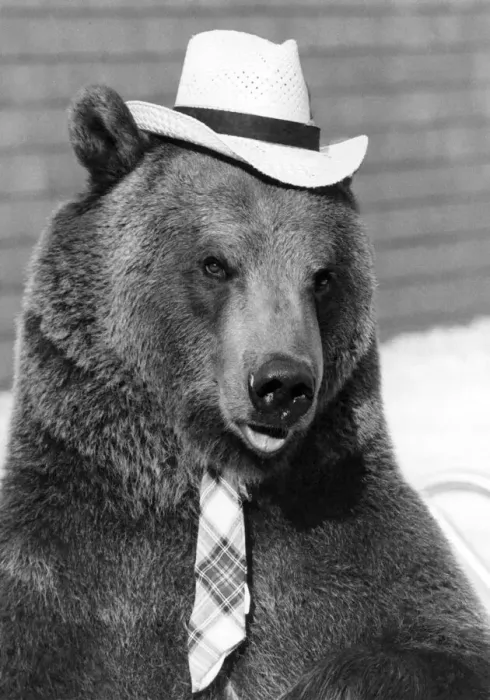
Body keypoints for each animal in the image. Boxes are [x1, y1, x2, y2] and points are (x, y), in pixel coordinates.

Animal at [0, 83, 489, 700]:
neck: (218, 477)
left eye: (323, 276)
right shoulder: (65, 586)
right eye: (215, 262)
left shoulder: (353, 540)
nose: (282, 385)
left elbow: (431, 640)